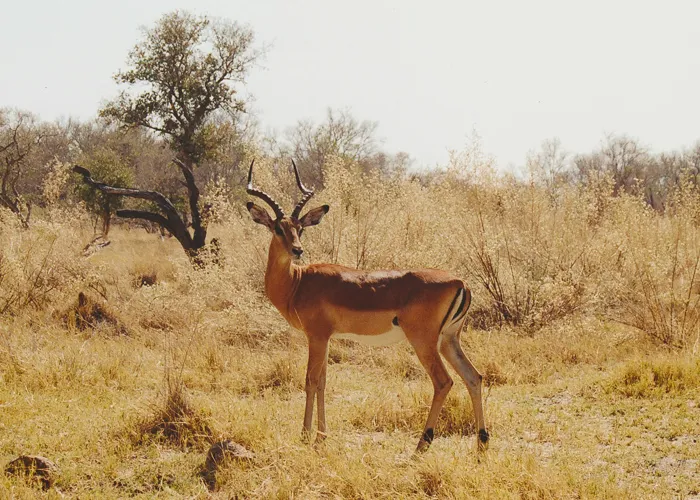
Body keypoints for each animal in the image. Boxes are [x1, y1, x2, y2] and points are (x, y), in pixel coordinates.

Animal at [245, 160, 489, 452]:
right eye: (278, 228)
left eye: (299, 228)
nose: (297, 250)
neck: (298, 282)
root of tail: (460, 281)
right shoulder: (326, 338)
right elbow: (323, 382)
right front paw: (322, 435)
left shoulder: (317, 336)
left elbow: (310, 381)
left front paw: (305, 435)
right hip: (449, 340)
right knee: (474, 376)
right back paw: (481, 444)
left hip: (424, 341)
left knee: (444, 381)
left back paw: (422, 444)